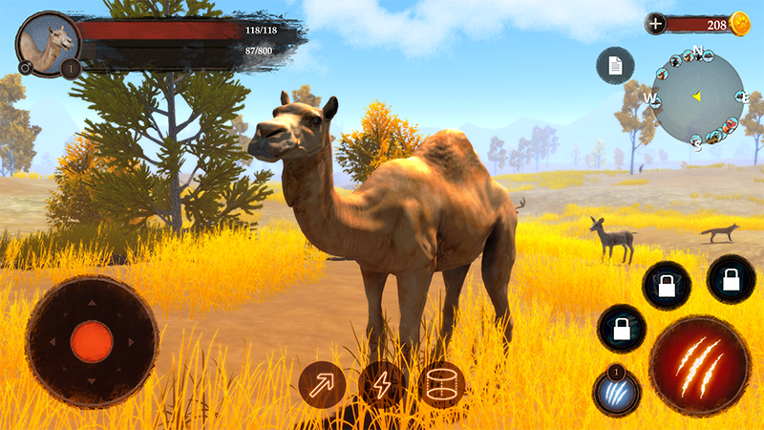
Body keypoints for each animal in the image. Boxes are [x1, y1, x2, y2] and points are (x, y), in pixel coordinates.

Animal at [249, 91, 520, 366]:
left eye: (315, 119)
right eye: (275, 112)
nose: (265, 132)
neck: (371, 214)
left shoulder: (417, 269)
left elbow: (408, 337)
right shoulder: (371, 268)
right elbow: (374, 329)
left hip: (505, 227)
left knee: (500, 304)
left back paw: (499, 372)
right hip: (458, 258)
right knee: (451, 308)